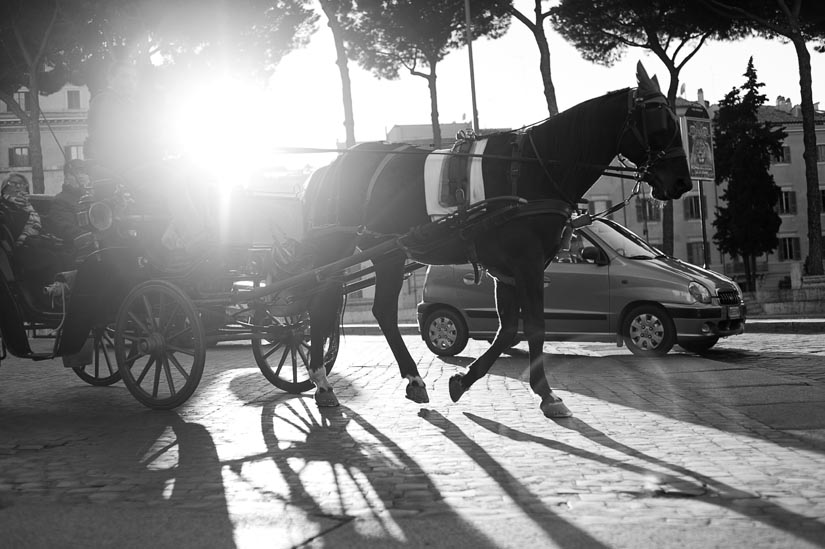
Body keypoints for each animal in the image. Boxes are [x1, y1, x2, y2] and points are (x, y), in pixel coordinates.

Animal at [300, 62, 692, 416]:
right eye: (661, 120)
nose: (682, 182)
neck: (533, 167)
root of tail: (328, 168)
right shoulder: (526, 263)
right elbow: (534, 326)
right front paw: (546, 393)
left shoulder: (507, 270)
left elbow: (508, 329)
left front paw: (465, 380)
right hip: (338, 249)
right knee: (320, 305)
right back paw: (325, 380)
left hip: (386, 253)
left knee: (373, 309)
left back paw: (395, 379)